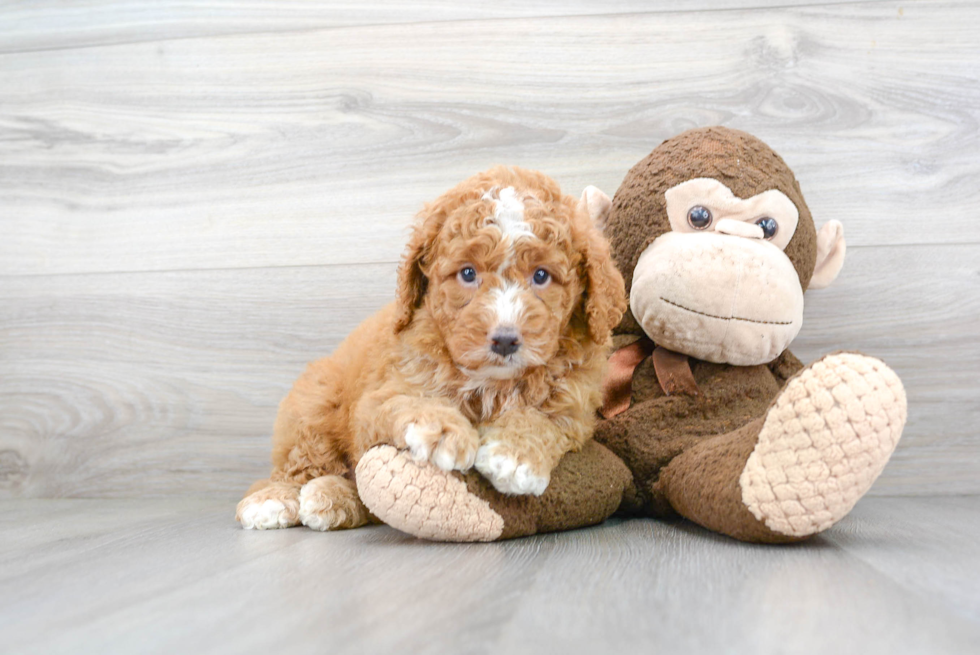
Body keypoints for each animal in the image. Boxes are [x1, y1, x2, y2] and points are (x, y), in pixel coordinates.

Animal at [234, 167, 624, 532]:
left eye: (541, 276)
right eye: (467, 273)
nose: (504, 340)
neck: (493, 381)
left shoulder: (575, 408)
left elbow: (543, 420)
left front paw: (514, 455)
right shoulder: (381, 396)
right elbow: (410, 402)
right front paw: (443, 432)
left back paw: (328, 499)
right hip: (313, 406)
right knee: (300, 466)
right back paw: (273, 500)